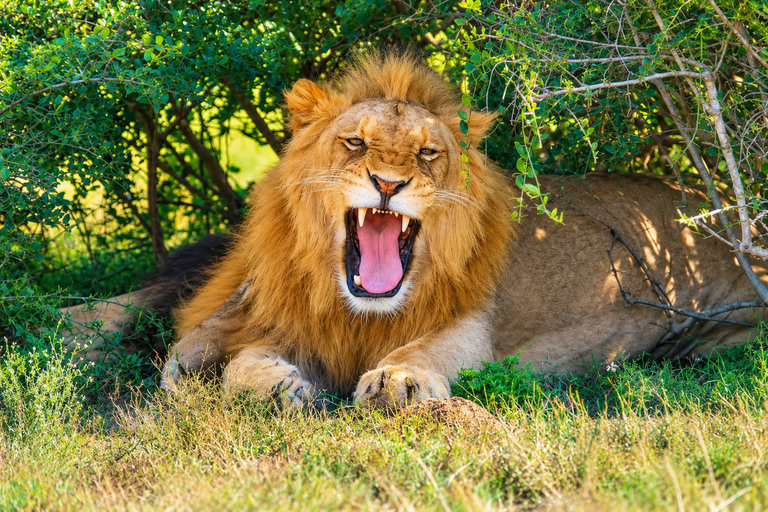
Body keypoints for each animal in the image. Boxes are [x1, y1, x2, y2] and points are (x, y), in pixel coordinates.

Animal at [62, 49, 767, 408]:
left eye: (428, 154)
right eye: (355, 143)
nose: (388, 183)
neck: (362, 314)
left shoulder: (473, 324)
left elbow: (431, 350)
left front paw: (397, 380)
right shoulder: (292, 321)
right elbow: (243, 357)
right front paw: (271, 385)